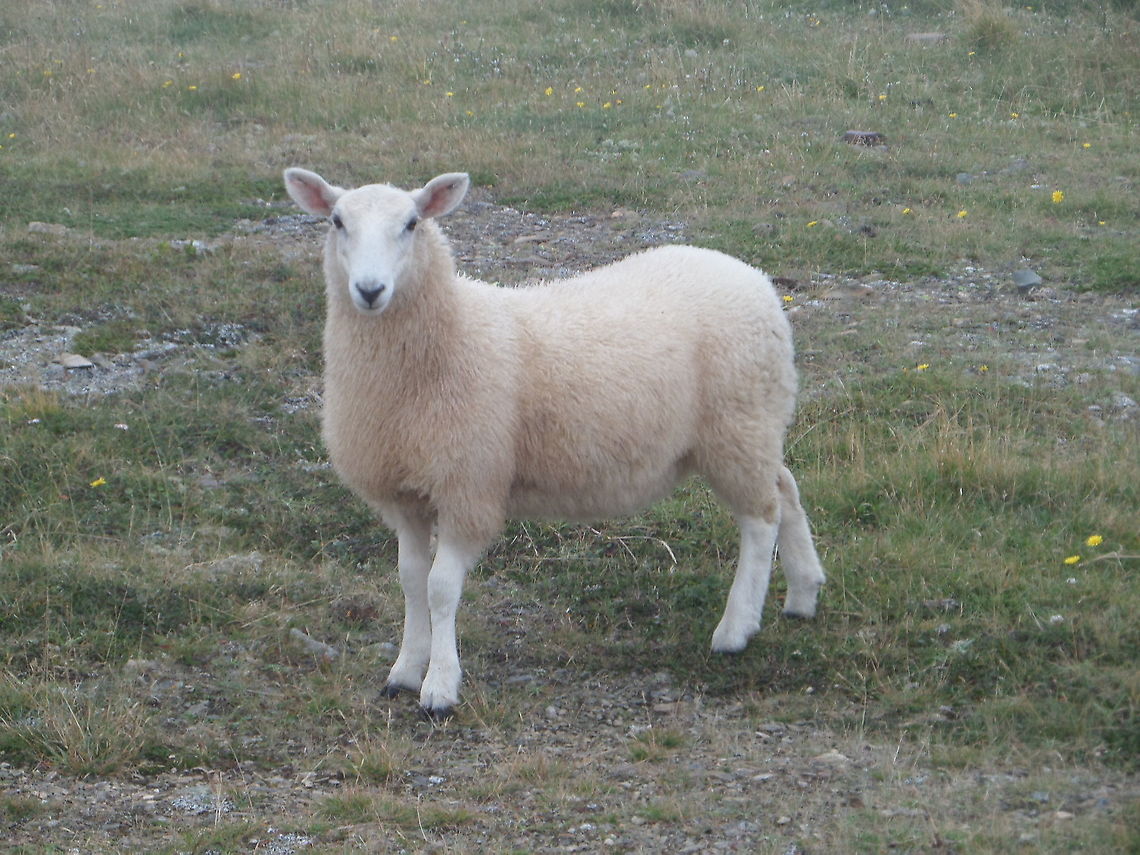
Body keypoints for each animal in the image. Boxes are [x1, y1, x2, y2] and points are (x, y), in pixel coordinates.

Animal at [282, 167, 827, 719]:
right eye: (336, 221)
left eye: (412, 223)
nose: (370, 290)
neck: (450, 336)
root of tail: (750, 276)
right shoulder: (406, 491)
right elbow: (411, 580)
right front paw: (404, 670)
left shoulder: (468, 484)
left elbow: (440, 588)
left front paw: (440, 686)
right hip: (752, 426)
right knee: (785, 487)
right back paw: (803, 593)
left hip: (736, 424)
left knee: (760, 519)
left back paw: (736, 629)